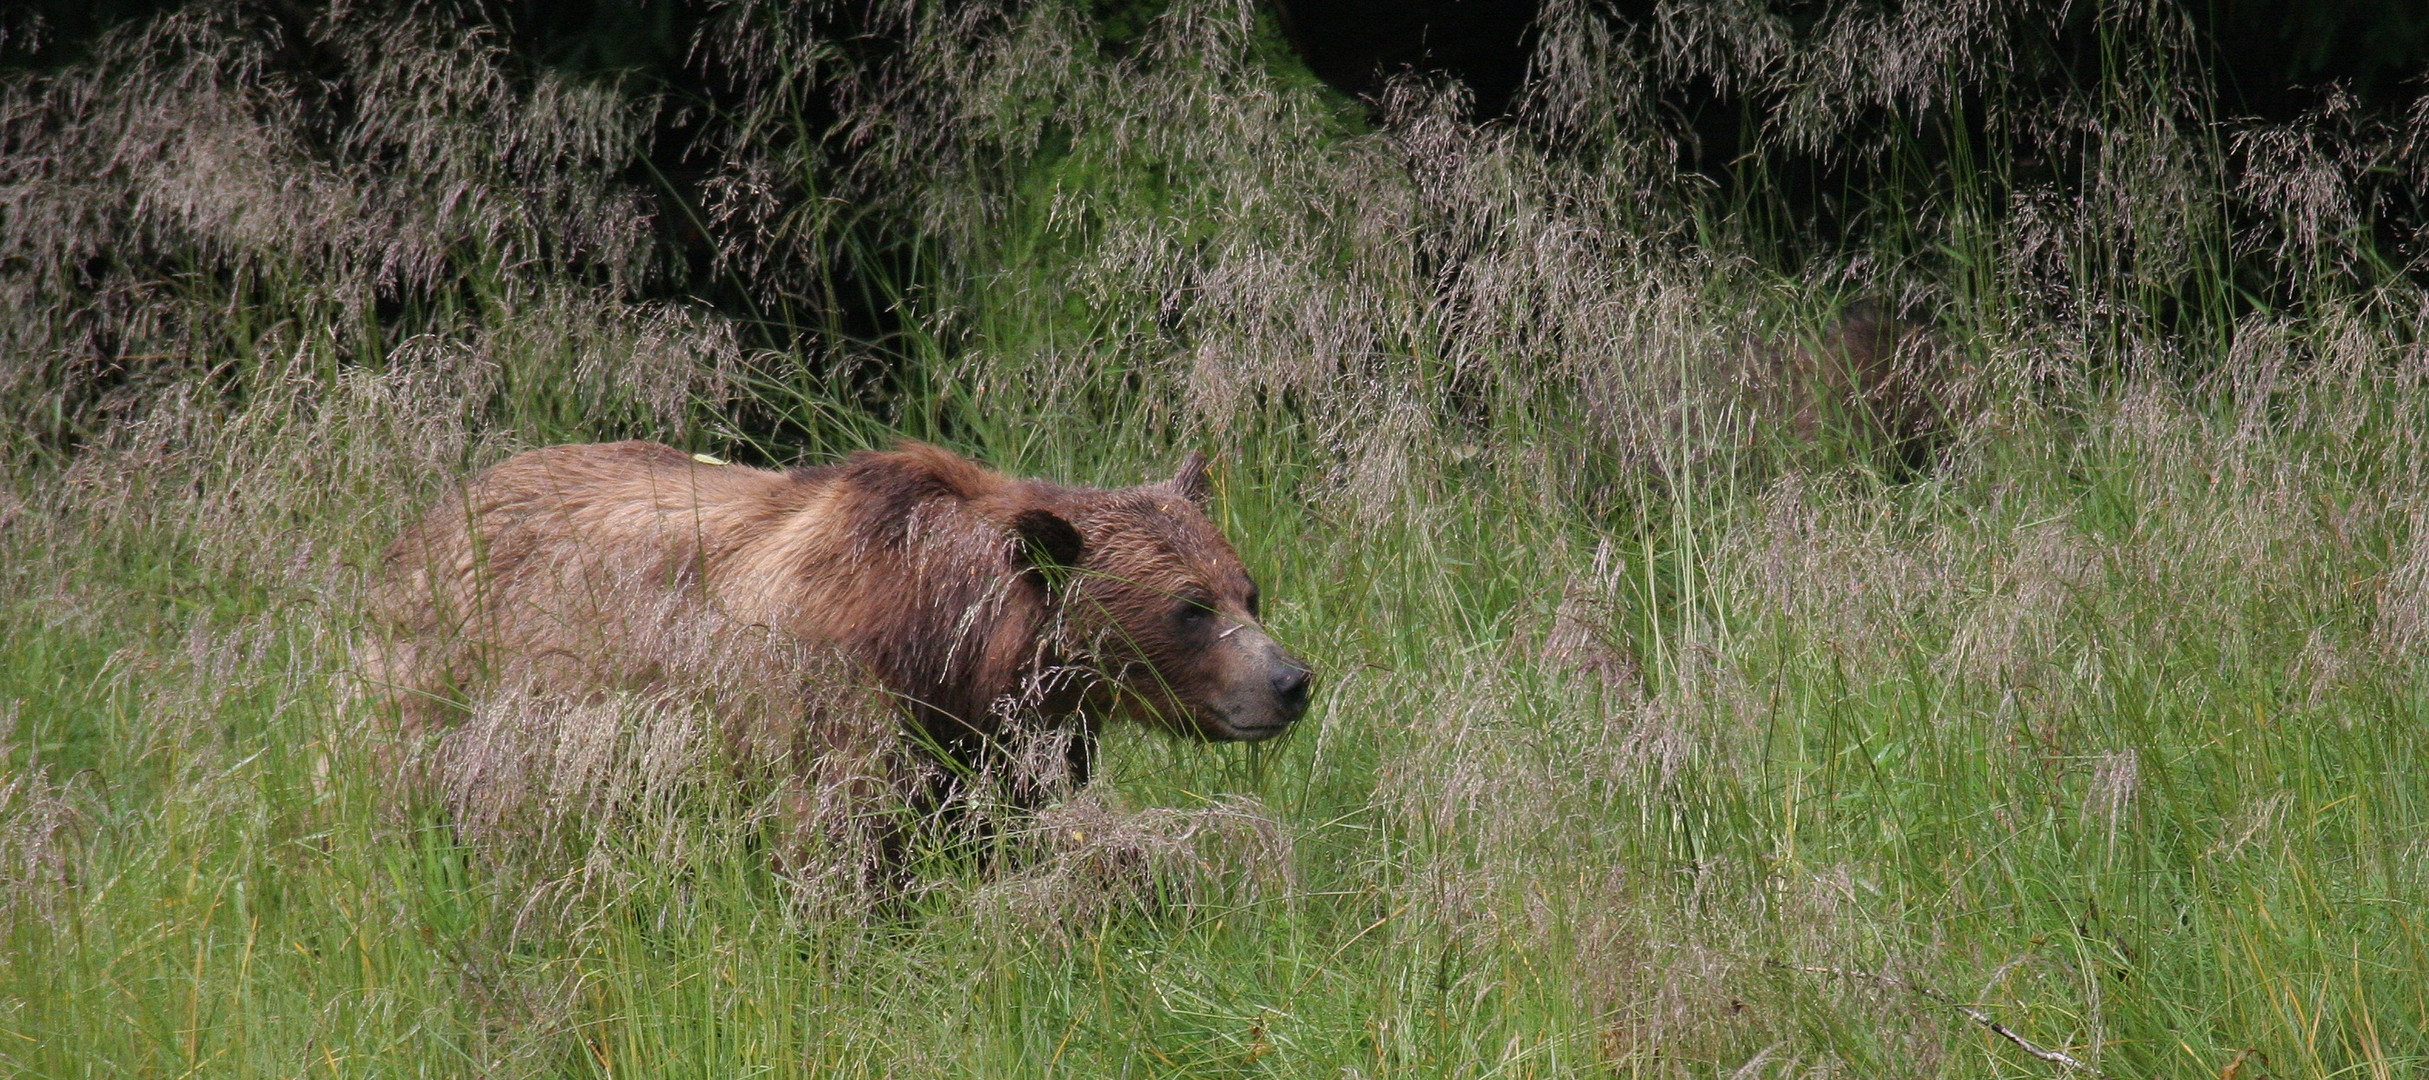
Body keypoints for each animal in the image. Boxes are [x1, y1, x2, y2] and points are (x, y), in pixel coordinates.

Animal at [366, 436, 1311, 849]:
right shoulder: (834, 709)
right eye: (1190, 607)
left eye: (1248, 589)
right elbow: (839, 849)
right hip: (459, 686)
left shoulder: (1008, 741)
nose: (1290, 679)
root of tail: (430, 512)